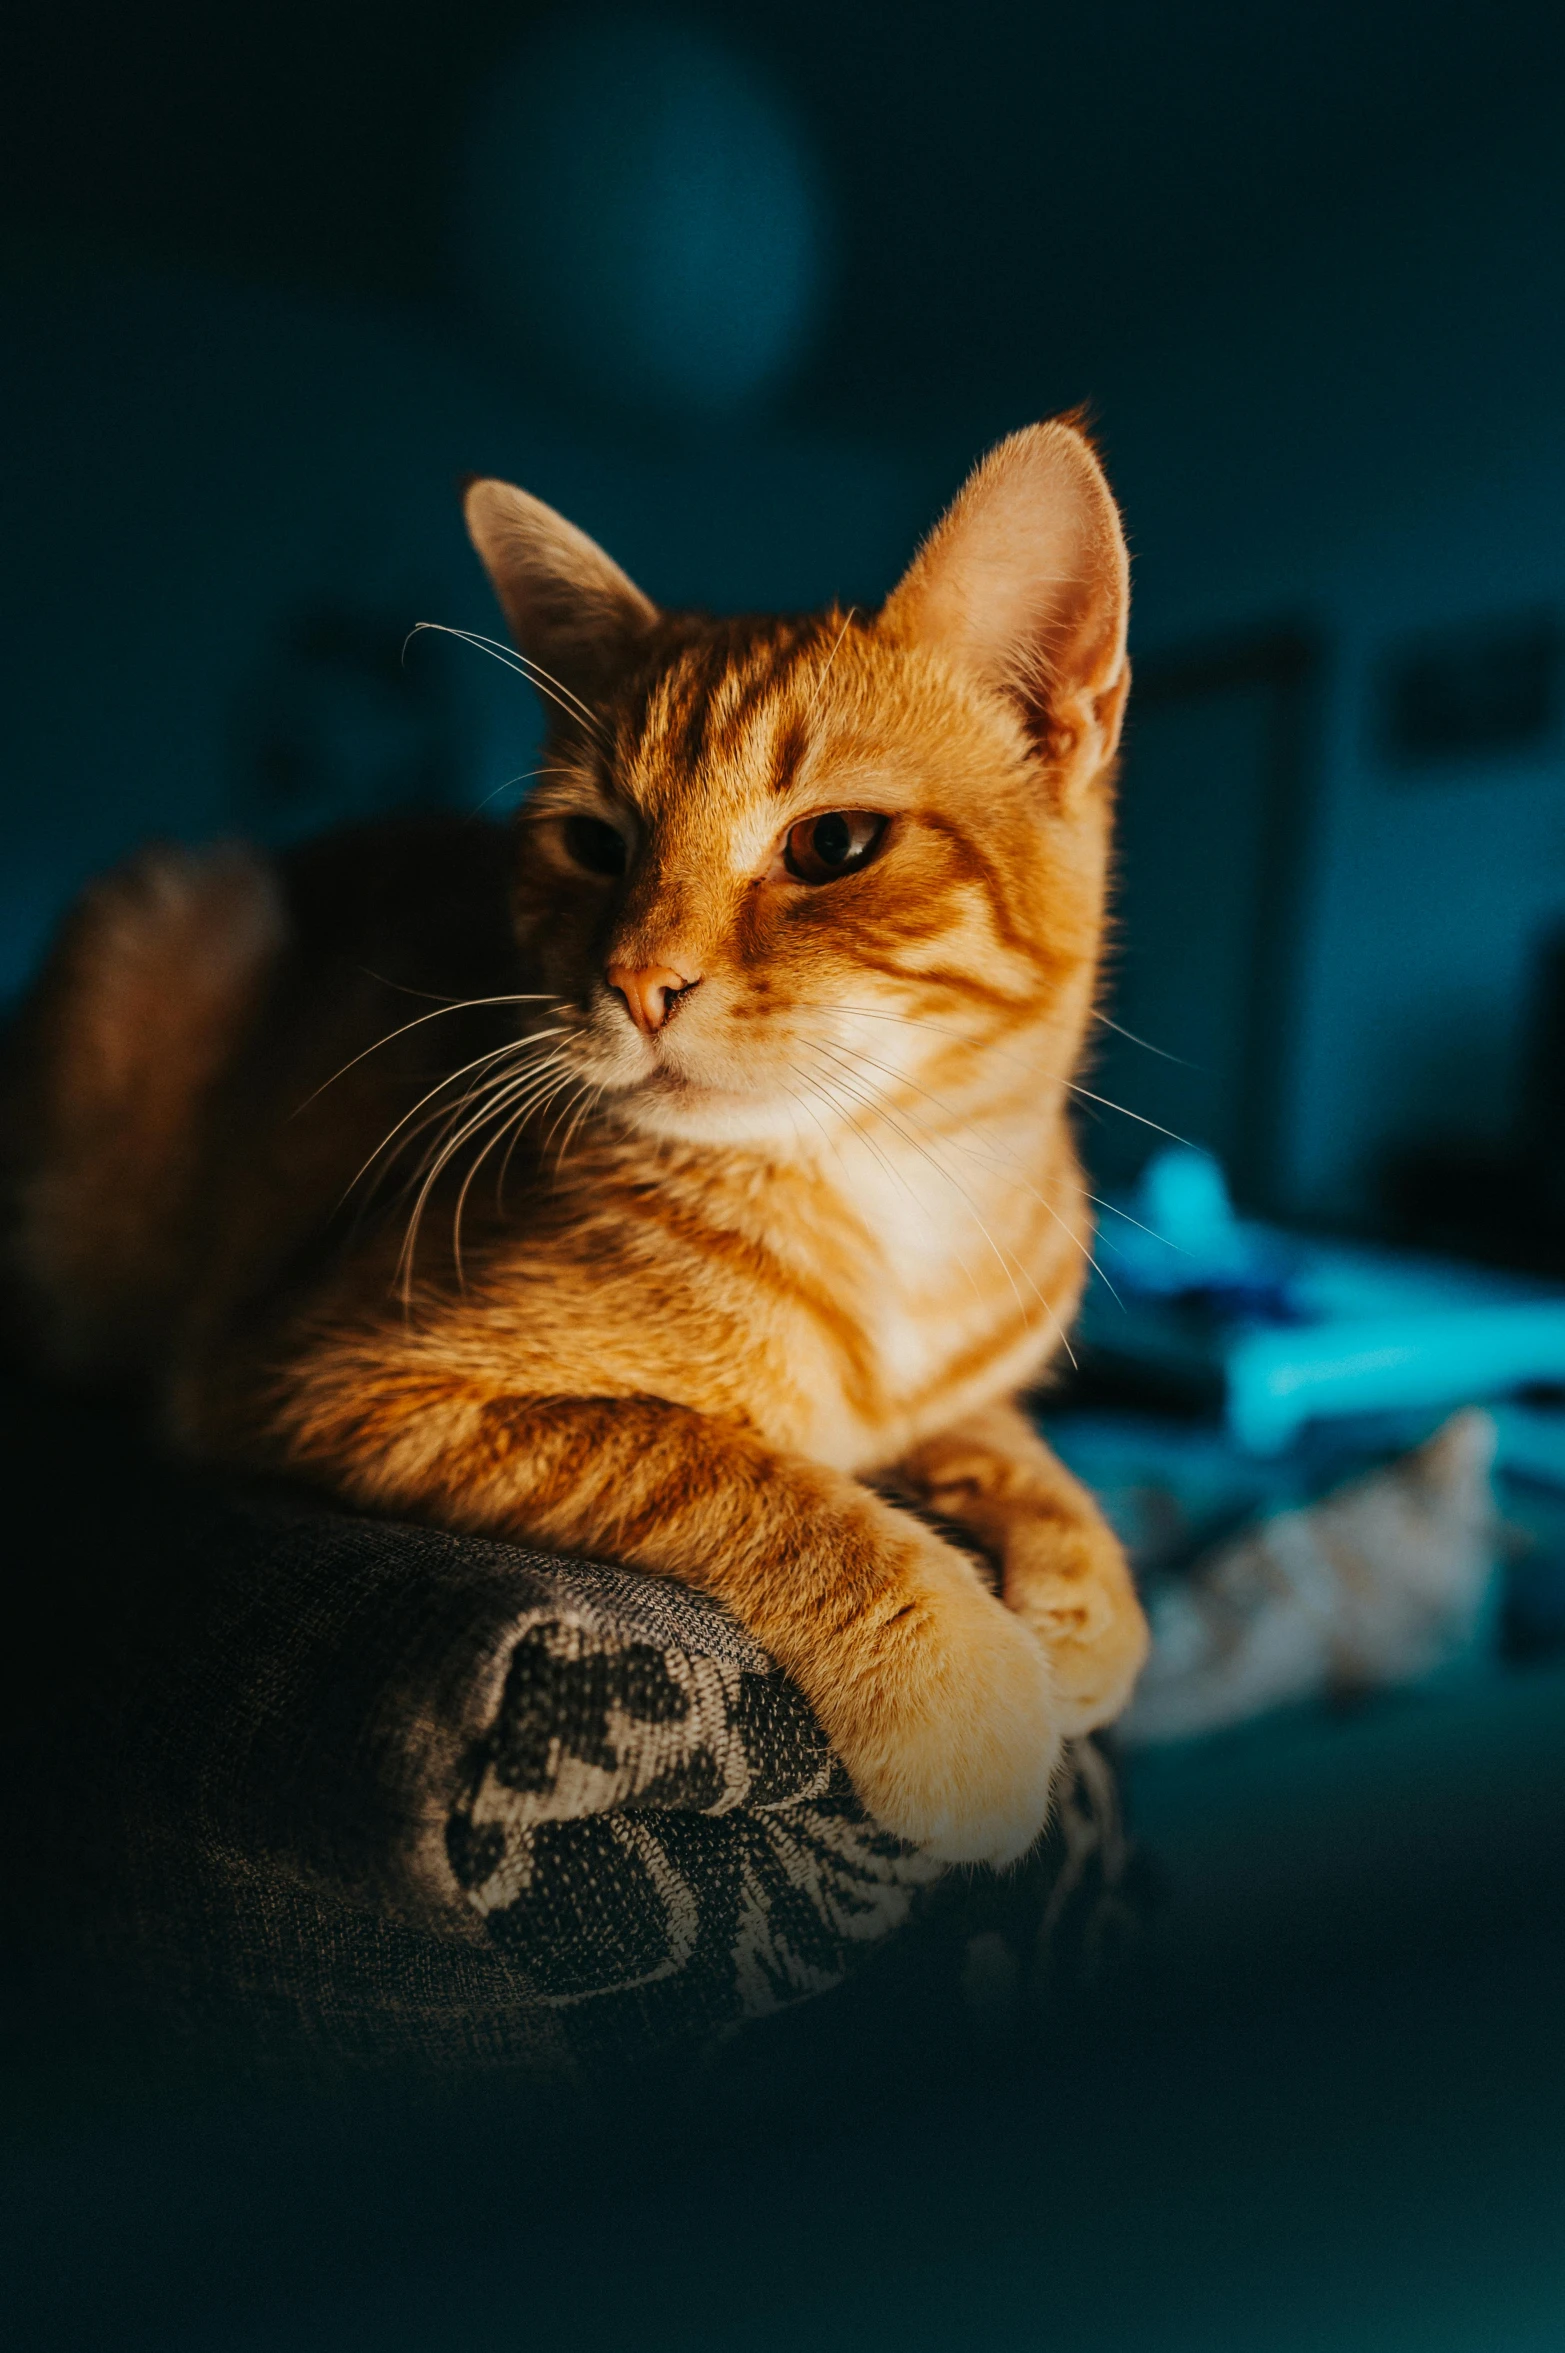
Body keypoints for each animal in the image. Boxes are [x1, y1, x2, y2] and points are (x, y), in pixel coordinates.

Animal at [0, 418, 1148, 1854]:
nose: (637, 980)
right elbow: (743, 1472)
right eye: (596, 844)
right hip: (170, 921)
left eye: (833, 842)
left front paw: (1081, 1580)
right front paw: (957, 1676)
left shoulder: (960, 1384)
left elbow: (1005, 1439)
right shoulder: (326, 1376)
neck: (897, 1192)